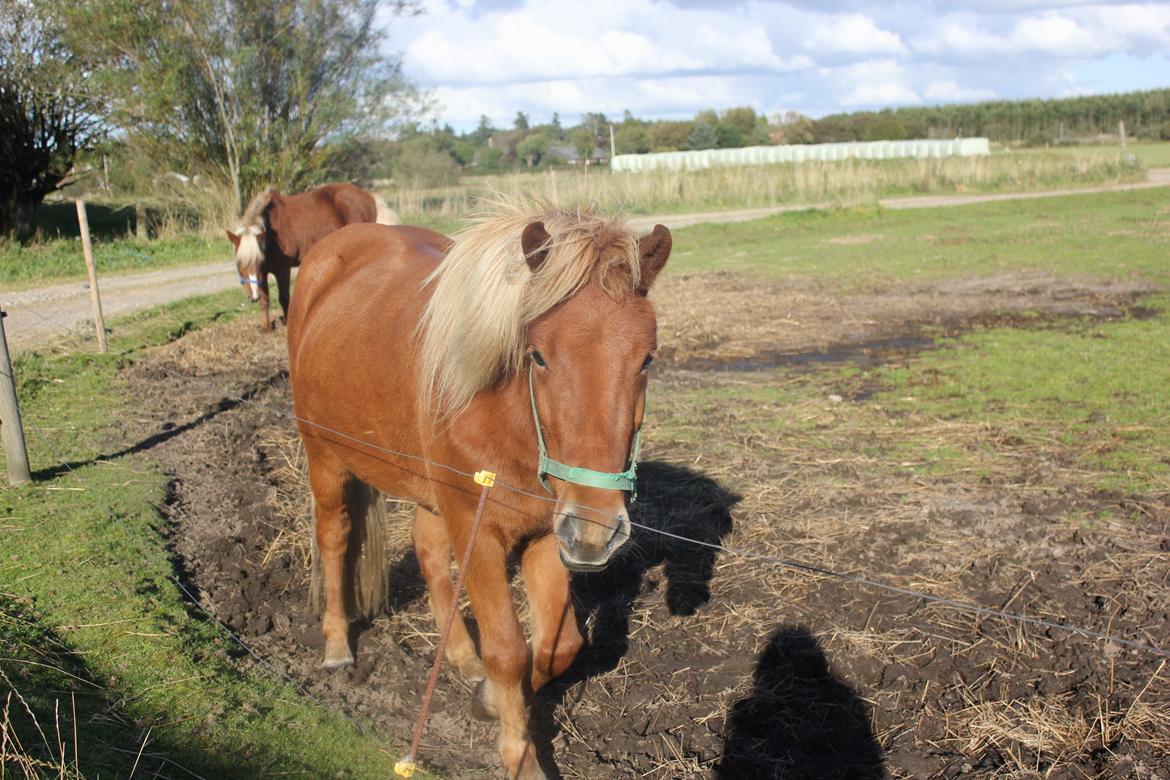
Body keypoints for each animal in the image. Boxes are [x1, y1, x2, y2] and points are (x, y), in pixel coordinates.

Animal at [225, 184, 400, 332]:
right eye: (239, 263)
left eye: (256, 261)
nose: (252, 296)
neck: (272, 232)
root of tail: (369, 196)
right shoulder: (263, 272)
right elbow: (265, 300)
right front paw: (266, 328)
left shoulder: (283, 270)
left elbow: (284, 298)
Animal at [285, 203, 678, 780]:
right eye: (537, 355)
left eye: (646, 359)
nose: (596, 530)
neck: (504, 414)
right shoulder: (483, 533)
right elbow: (508, 650)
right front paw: (521, 756)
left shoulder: (547, 534)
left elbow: (559, 644)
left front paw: (490, 697)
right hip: (325, 456)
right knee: (335, 536)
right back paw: (337, 643)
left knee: (429, 553)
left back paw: (462, 660)